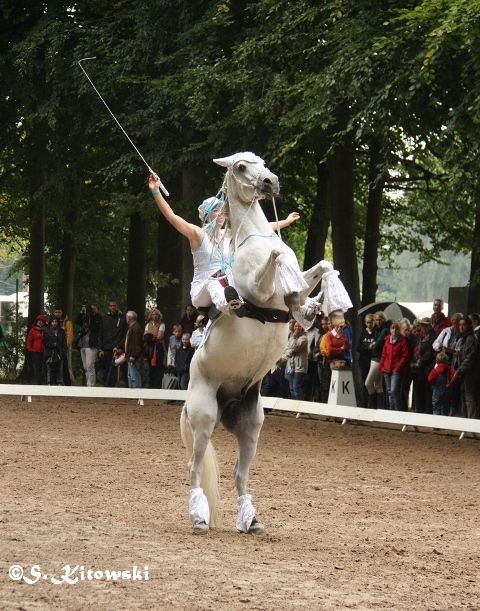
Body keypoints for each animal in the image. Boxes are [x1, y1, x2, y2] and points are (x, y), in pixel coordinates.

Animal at [180, 154, 334, 536]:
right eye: (240, 166)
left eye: (262, 161)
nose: (270, 182)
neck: (255, 238)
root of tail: (226, 402)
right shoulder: (259, 289)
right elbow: (277, 257)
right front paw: (294, 294)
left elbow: (318, 268)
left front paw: (309, 303)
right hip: (203, 419)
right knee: (194, 467)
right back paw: (199, 518)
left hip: (251, 425)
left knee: (239, 473)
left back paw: (250, 521)